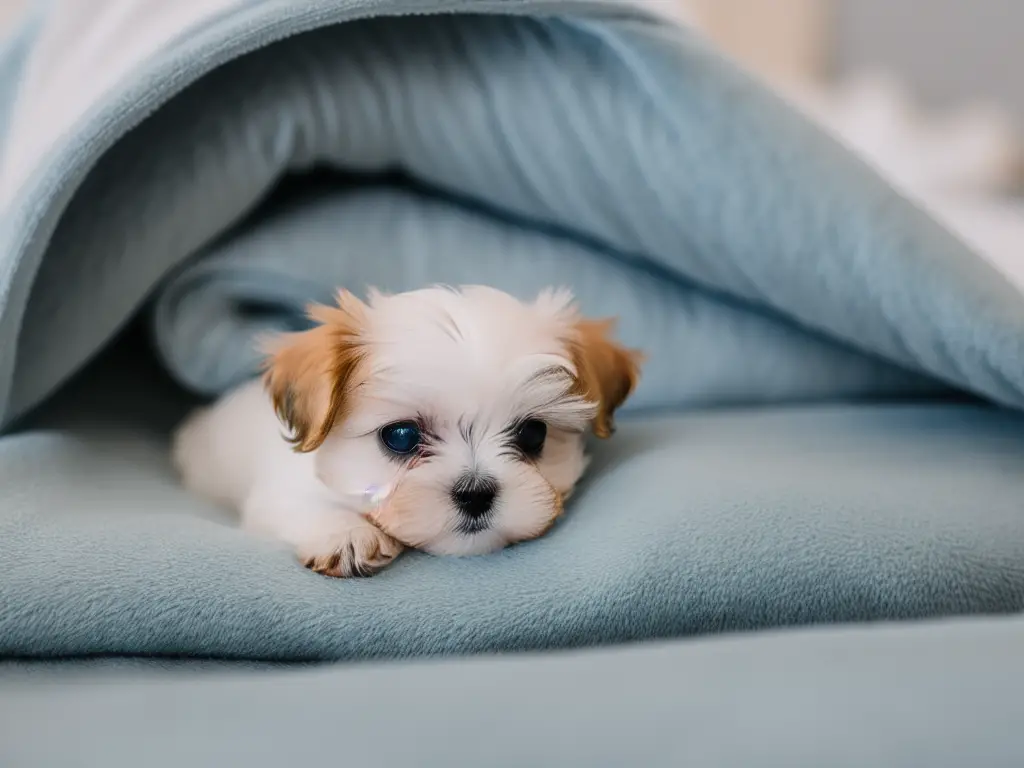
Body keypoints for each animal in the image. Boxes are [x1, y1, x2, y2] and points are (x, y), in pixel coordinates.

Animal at [174, 286, 638, 577]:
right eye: (400, 436)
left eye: (533, 435)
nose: (475, 493)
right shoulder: (280, 492)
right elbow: (304, 505)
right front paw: (347, 535)